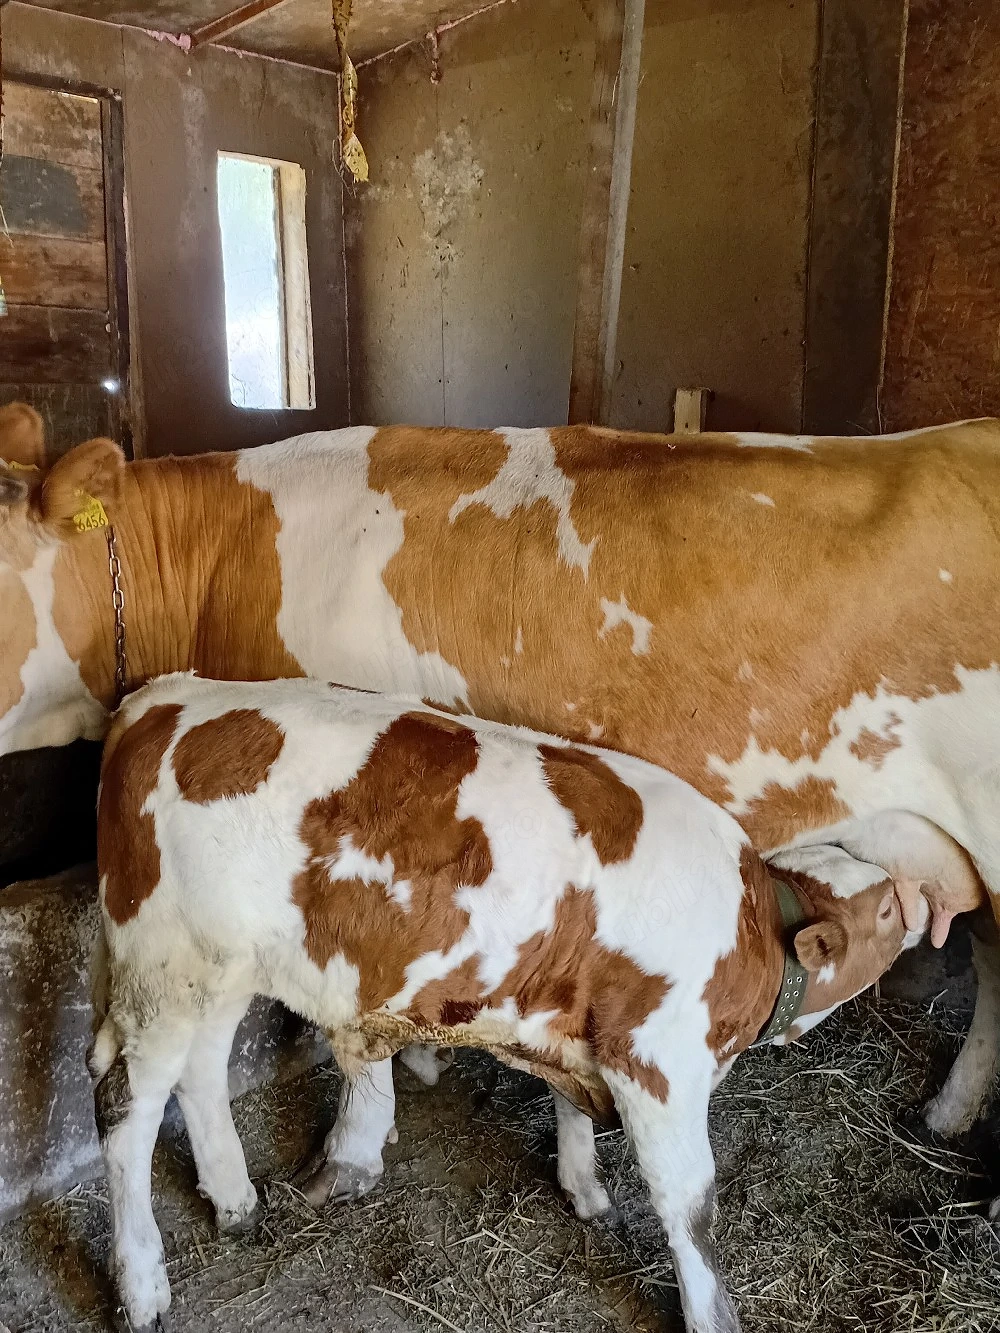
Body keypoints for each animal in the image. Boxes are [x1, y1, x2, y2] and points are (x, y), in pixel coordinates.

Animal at [89, 674, 928, 1333]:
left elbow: (573, 1110)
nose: (921, 901)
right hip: (160, 966)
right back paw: (143, 1285)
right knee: (126, 1112)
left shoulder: (578, 1020)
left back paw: (235, 1198)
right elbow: (691, 1205)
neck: (749, 930)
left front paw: (584, 1187)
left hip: (216, 968)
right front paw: (710, 1312)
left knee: (199, 1073)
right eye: (884, 911)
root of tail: (164, 696)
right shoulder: (654, 1060)